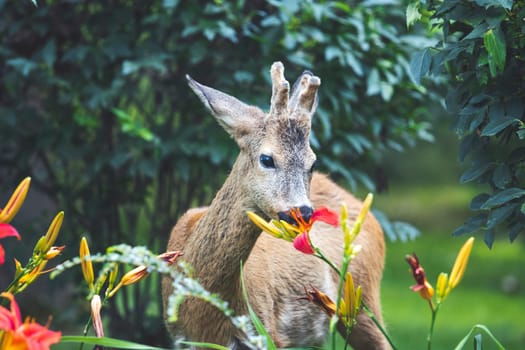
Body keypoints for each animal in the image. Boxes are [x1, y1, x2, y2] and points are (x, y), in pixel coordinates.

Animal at [162, 63, 386, 350]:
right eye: (267, 159)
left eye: (312, 162)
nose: (303, 211)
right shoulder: (180, 338)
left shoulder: (268, 331)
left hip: (363, 296)